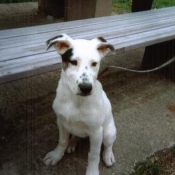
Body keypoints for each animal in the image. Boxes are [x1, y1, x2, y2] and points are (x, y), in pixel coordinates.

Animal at [43, 33, 117, 175]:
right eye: (73, 62)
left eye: (94, 63)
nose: (86, 88)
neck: (75, 99)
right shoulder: (61, 121)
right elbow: (62, 141)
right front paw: (56, 155)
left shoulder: (96, 132)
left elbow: (93, 155)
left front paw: (92, 171)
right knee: (75, 136)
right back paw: (72, 143)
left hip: (108, 132)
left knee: (108, 145)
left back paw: (108, 155)